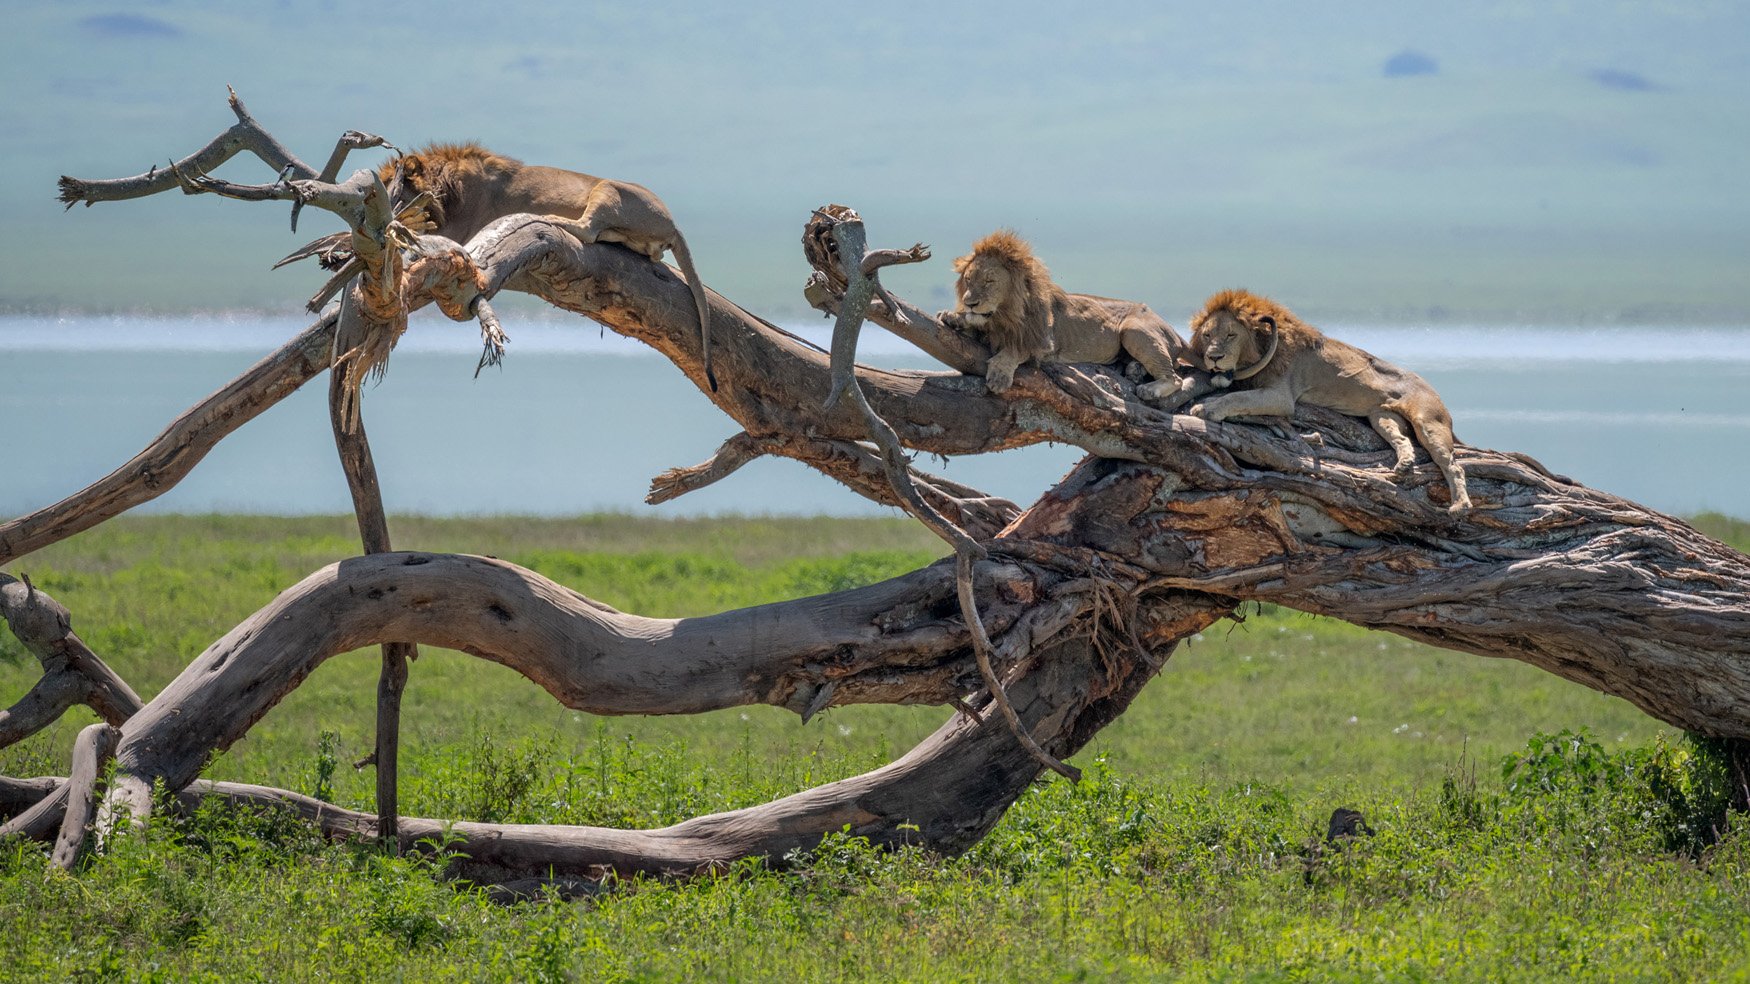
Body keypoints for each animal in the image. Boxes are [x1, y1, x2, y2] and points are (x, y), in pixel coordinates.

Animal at [283, 142, 716, 386]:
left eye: (392, 189)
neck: (447, 189)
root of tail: (673, 223)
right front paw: (335, 253)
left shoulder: (457, 231)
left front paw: (340, 253)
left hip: (606, 188)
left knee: (588, 230)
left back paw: (556, 220)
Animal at [935, 230, 1186, 397]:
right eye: (969, 279)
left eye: (989, 281)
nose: (969, 303)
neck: (1005, 314)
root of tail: (1173, 329)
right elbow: (977, 326)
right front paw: (953, 317)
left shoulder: (1044, 342)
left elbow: (1015, 350)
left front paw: (999, 376)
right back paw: (1134, 369)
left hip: (1132, 329)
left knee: (1175, 378)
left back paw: (1149, 389)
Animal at [1184, 289, 1472, 515]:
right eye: (1207, 336)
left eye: (1231, 335)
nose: (1214, 357)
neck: (1262, 346)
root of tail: (1431, 386)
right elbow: (1237, 394)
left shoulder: (1281, 396)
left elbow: (1237, 397)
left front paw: (1207, 408)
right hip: (1382, 417)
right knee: (1402, 438)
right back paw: (1404, 465)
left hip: (1428, 422)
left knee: (1453, 465)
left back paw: (1460, 505)